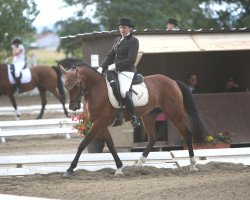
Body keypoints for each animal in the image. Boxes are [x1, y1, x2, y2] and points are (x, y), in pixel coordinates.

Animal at [60, 63, 207, 176]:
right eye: (66, 86)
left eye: (76, 85)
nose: (73, 107)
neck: (96, 89)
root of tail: (172, 81)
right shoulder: (101, 124)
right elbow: (111, 145)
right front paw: (119, 168)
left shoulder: (98, 123)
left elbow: (83, 144)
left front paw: (70, 169)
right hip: (148, 116)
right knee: (153, 138)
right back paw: (139, 164)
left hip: (175, 113)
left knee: (187, 134)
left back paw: (193, 165)